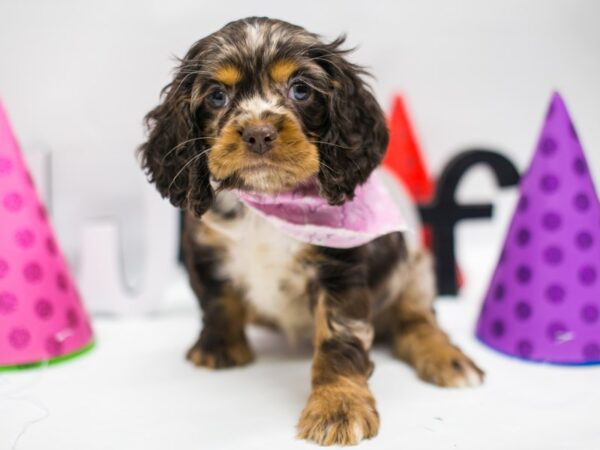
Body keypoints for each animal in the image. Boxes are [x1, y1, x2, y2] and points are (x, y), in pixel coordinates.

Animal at [139, 15, 482, 444]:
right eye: (217, 96)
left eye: (300, 89)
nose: (258, 133)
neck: (268, 202)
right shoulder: (206, 247)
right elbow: (218, 301)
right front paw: (218, 348)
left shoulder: (340, 270)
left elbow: (338, 340)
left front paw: (338, 406)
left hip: (415, 266)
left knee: (417, 320)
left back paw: (449, 359)